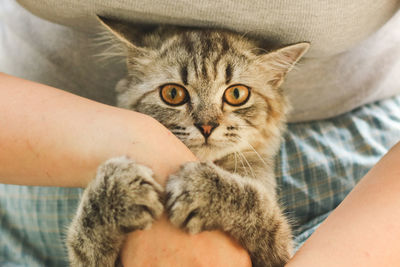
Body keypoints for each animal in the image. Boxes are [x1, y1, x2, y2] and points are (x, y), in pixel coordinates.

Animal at [66, 16, 310, 267]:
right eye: (173, 94)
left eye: (237, 94)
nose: (206, 126)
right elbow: (82, 238)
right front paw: (115, 192)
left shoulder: (280, 250)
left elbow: (258, 204)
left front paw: (203, 189)